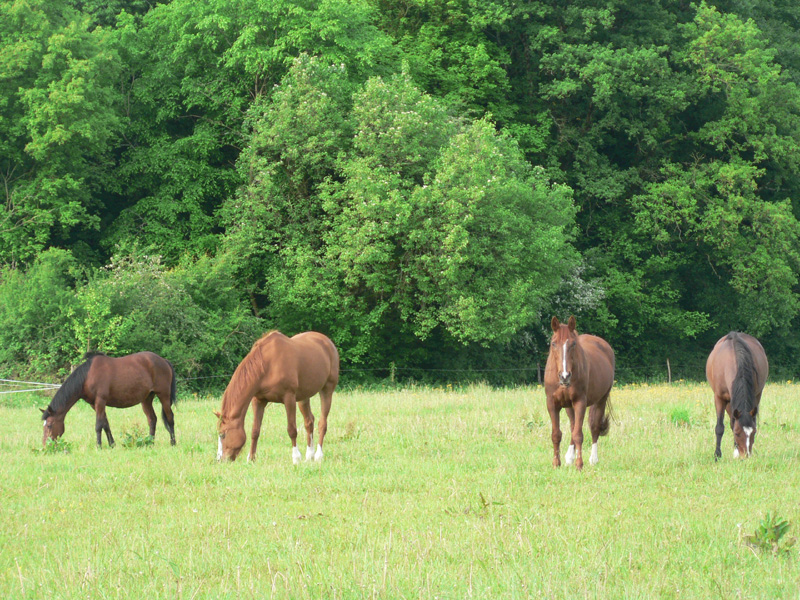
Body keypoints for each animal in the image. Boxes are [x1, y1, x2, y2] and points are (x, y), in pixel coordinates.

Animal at [41, 351, 177, 447]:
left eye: (49, 425)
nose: (45, 445)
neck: (87, 376)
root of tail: (164, 361)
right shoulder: (95, 404)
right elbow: (105, 424)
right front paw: (112, 444)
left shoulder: (100, 401)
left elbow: (98, 425)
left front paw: (99, 446)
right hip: (147, 399)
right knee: (152, 419)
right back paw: (150, 442)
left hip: (164, 395)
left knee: (170, 418)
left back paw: (173, 442)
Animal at [215, 330, 339, 463]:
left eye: (222, 434)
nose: (220, 459)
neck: (267, 364)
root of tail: (327, 342)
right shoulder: (258, 400)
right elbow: (255, 430)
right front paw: (251, 458)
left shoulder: (289, 398)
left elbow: (292, 430)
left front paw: (296, 458)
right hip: (303, 397)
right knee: (309, 422)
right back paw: (309, 455)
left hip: (327, 389)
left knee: (322, 423)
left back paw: (318, 456)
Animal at [544, 316, 615, 470]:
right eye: (553, 343)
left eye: (573, 344)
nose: (565, 376)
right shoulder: (552, 404)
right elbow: (556, 434)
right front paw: (556, 463)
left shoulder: (580, 402)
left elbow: (578, 434)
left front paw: (579, 464)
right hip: (569, 406)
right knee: (573, 425)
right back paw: (569, 457)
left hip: (601, 399)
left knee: (594, 427)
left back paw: (593, 459)